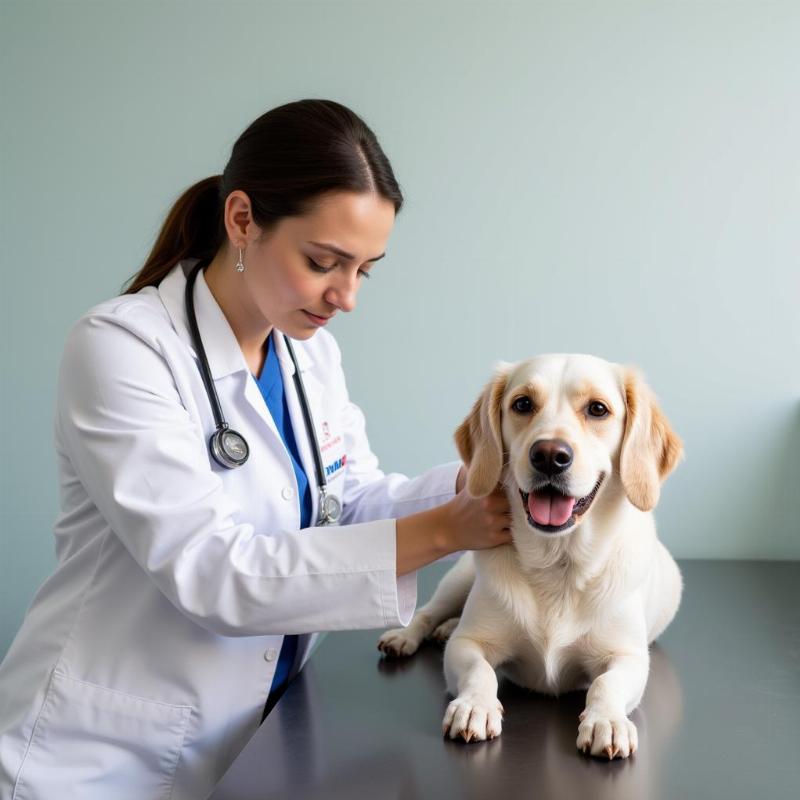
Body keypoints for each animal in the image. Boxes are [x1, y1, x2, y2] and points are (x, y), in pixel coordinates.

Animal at [376, 354, 680, 760]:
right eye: (522, 404)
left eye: (598, 409)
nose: (550, 456)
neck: (557, 563)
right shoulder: (467, 644)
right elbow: (480, 671)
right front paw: (474, 706)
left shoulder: (628, 657)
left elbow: (606, 684)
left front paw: (607, 721)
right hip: (458, 579)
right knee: (427, 613)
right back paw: (408, 635)